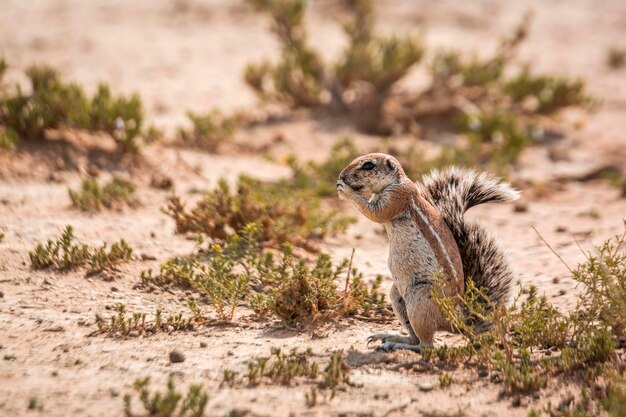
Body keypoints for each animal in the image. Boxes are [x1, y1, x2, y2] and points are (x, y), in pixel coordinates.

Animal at [336, 153, 516, 352]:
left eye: (368, 165)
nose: (342, 175)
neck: (397, 181)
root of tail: (454, 319)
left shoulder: (397, 198)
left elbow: (375, 213)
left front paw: (345, 190)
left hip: (420, 298)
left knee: (426, 346)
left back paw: (398, 344)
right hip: (398, 295)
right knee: (415, 337)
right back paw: (390, 337)